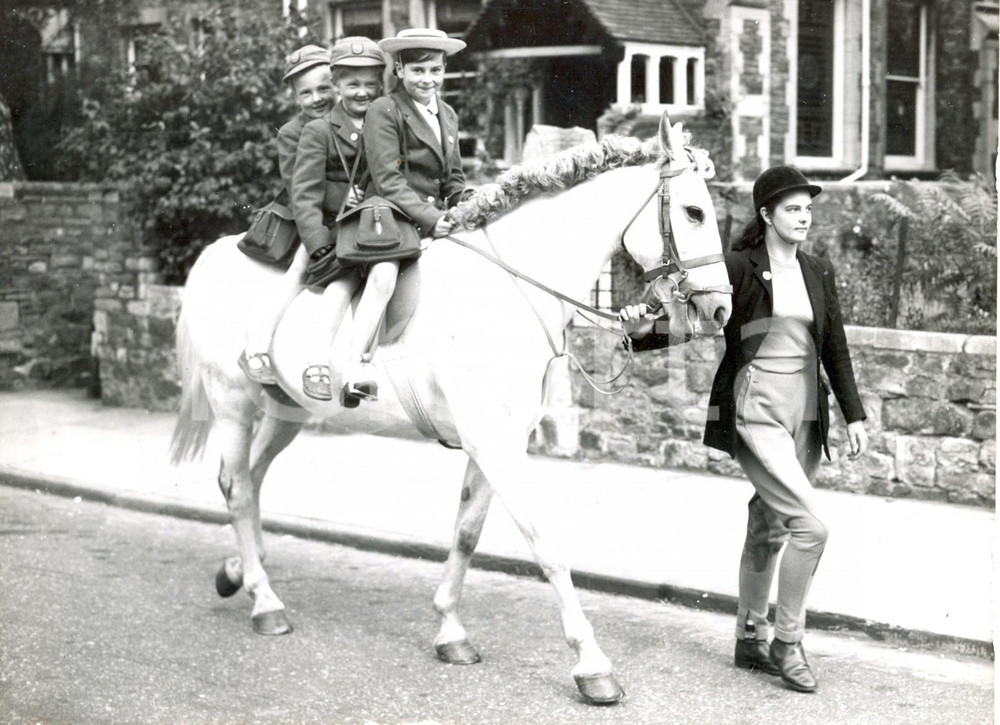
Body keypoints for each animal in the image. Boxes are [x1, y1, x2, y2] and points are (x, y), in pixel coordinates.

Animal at [169, 112, 732, 705]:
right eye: (694, 212)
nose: (720, 309)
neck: (507, 290)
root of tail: (215, 254)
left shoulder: (496, 443)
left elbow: (466, 533)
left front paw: (450, 631)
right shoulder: (496, 445)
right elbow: (545, 545)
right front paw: (592, 665)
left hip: (285, 413)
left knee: (251, 482)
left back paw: (239, 572)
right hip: (233, 403)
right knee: (235, 489)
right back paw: (265, 602)